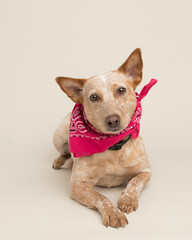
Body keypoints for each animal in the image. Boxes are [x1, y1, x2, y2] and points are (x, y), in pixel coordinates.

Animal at [52, 47, 153, 228]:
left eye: (121, 90)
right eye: (93, 97)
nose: (113, 120)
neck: (113, 147)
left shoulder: (145, 171)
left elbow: (135, 182)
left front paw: (128, 198)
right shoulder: (78, 185)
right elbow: (101, 197)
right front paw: (112, 212)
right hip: (58, 136)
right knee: (63, 152)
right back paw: (60, 160)